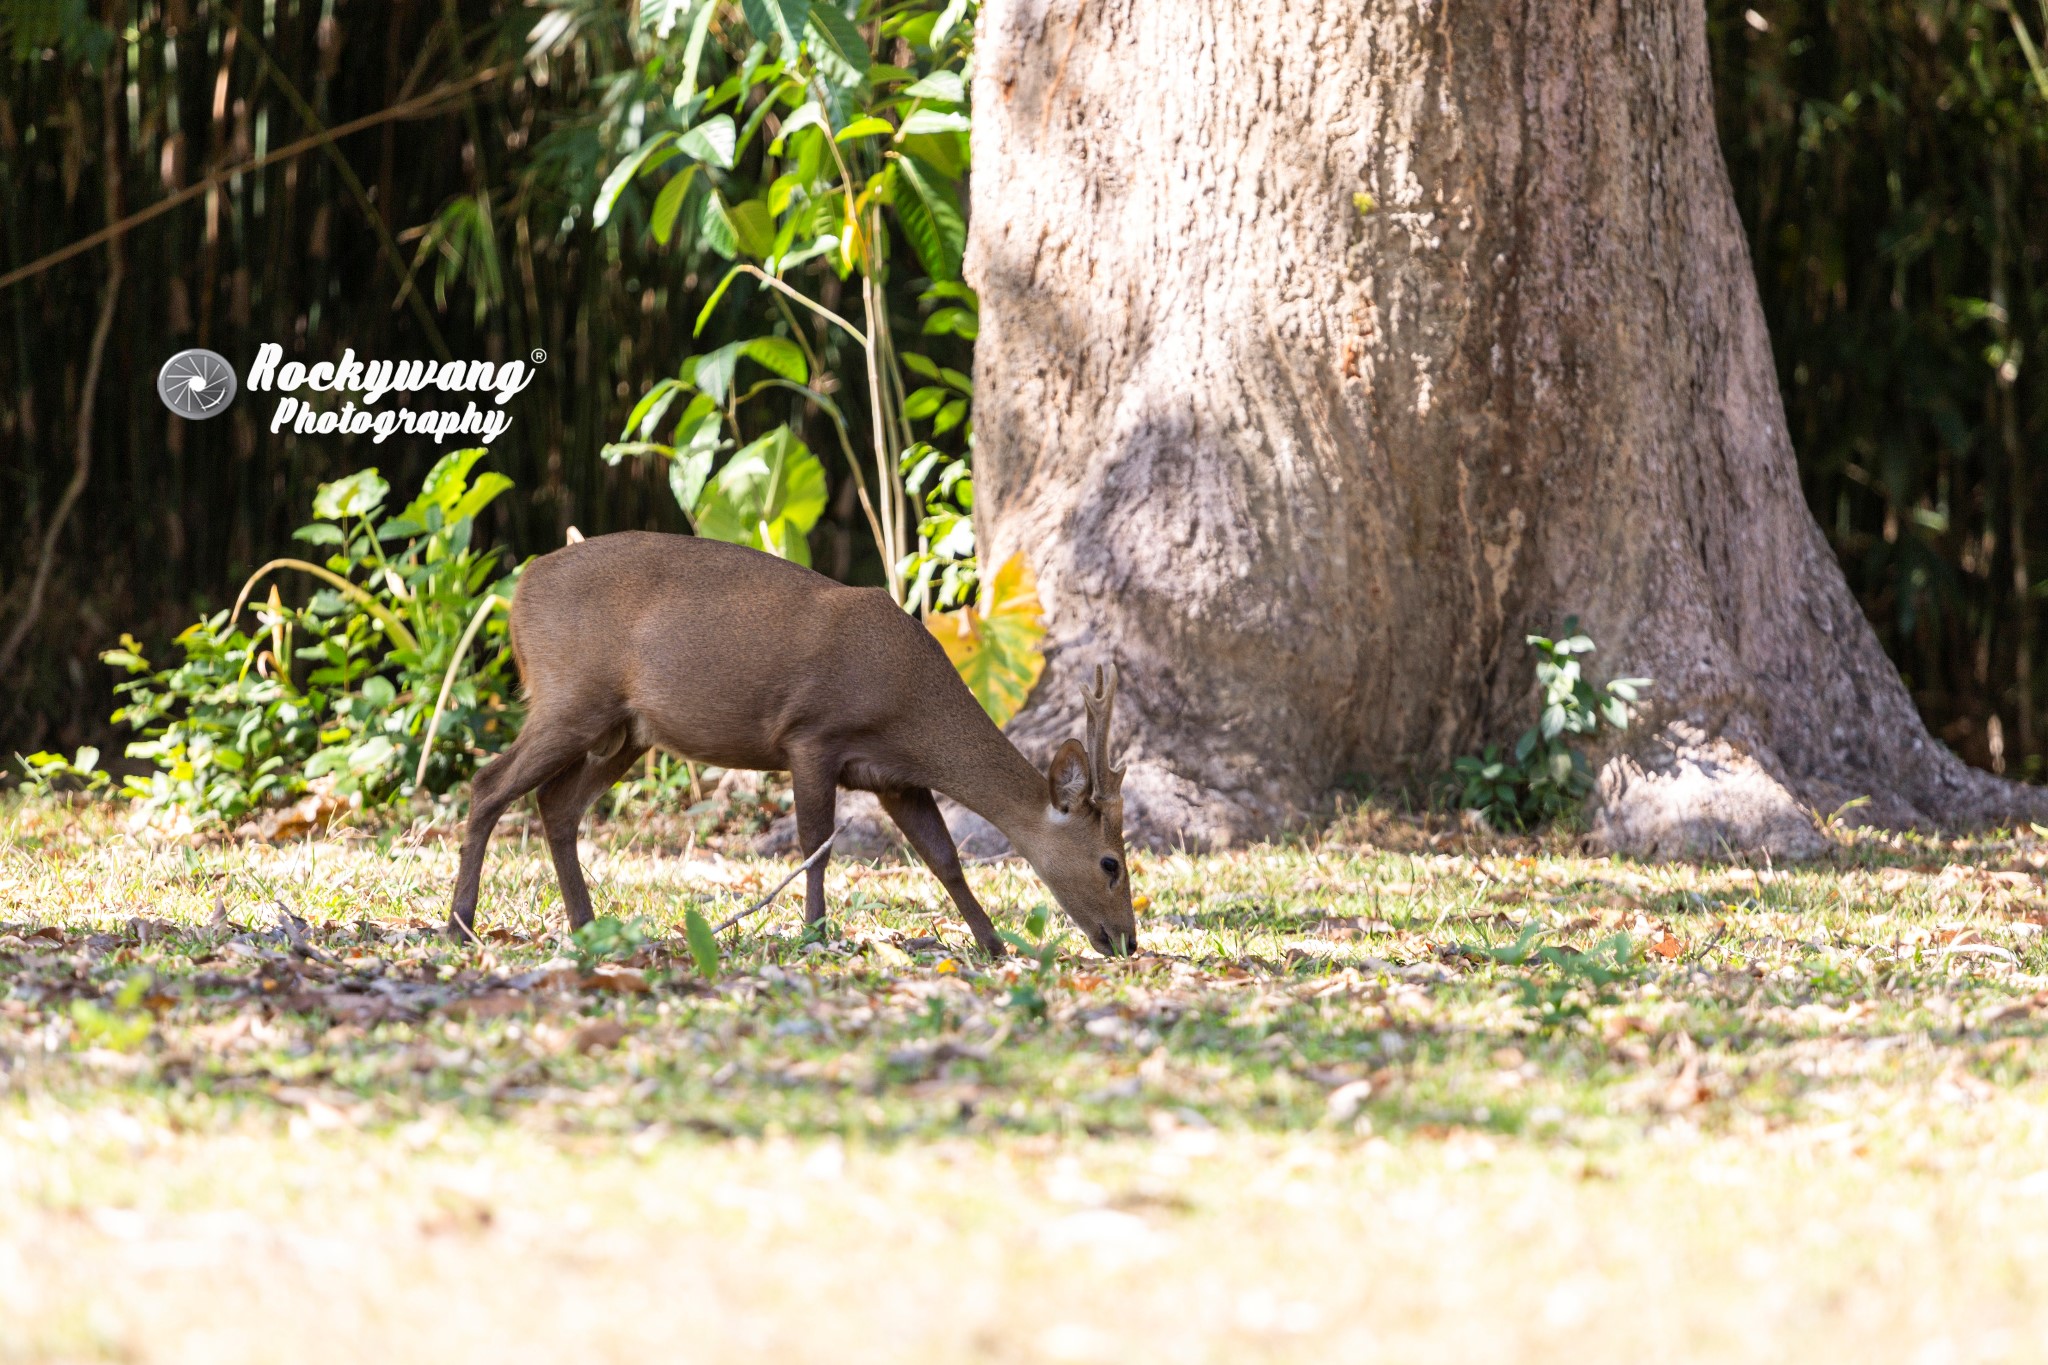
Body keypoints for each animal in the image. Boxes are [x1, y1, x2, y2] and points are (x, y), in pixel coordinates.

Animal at [444, 532, 1138, 961]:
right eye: (1111, 862)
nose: (1127, 942)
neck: (910, 707)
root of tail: (518, 593)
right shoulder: (812, 734)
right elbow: (815, 844)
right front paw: (814, 933)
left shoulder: (895, 777)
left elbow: (943, 858)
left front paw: (992, 944)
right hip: (569, 694)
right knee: (488, 785)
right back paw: (461, 925)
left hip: (626, 731)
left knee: (556, 804)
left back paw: (587, 926)